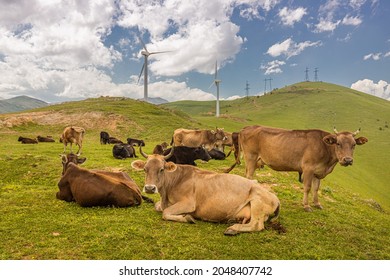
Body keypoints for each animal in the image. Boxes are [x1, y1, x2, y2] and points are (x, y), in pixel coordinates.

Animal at [131, 145, 280, 235]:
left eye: (161, 169)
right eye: (145, 169)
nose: (150, 188)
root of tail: (275, 197)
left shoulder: (189, 203)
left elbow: (165, 212)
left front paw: (188, 218)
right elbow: (158, 207)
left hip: (257, 202)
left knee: (256, 225)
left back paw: (232, 229)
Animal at [227, 126, 368, 211]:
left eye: (354, 145)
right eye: (338, 143)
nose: (348, 160)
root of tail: (247, 127)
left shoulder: (318, 172)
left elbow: (316, 189)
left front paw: (317, 204)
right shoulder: (308, 169)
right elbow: (307, 187)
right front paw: (306, 205)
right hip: (251, 157)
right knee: (249, 177)